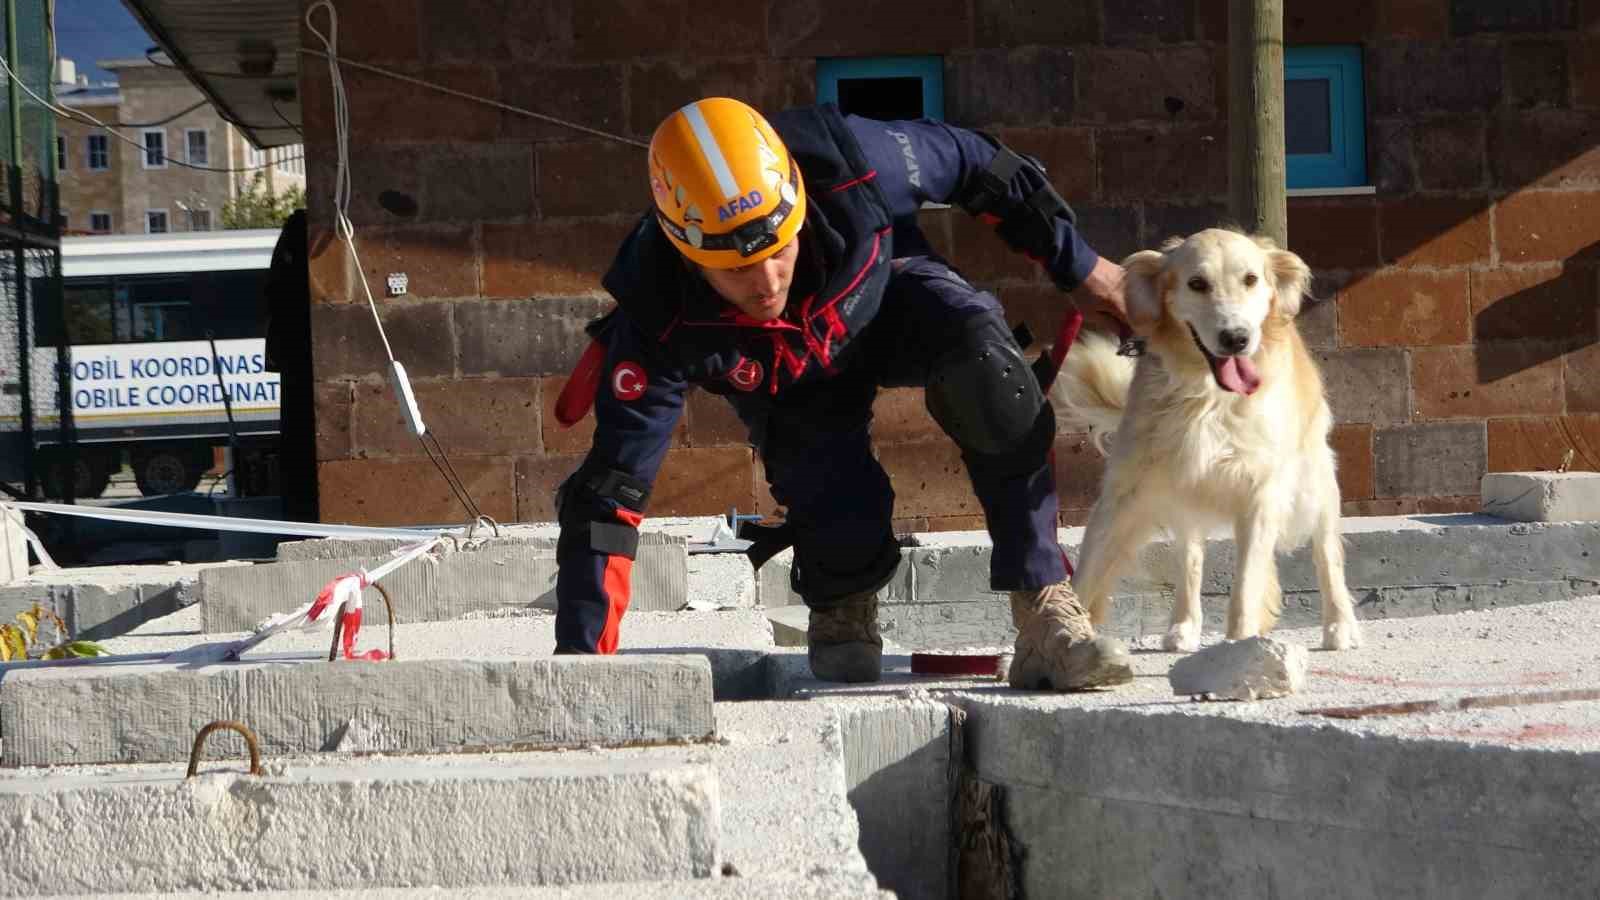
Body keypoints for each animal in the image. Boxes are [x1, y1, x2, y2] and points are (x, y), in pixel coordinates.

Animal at [1049, 227, 1363, 646]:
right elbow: (1085, 573)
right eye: (1197, 283)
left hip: (1315, 478)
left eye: (1251, 279)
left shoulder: (1261, 493)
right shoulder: (1124, 491)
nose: (1236, 338)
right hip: (1182, 493)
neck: (1208, 395)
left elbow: (1246, 584)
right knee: (1190, 557)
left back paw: (1339, 626)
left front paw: (1240, 646)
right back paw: (1183, 626)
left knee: (1327, 553)